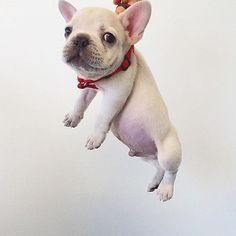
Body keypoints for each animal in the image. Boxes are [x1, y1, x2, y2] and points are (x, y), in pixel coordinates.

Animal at [58, 0, 182, 203]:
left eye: (108, 37)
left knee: (171, 171)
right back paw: (154, 182)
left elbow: (102, 116)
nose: (80, 38)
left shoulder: (116, 93)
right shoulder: (90, 84)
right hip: (146, 155)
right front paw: (73, 117)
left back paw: (165, 189)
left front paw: (95, 137)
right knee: (158, 167)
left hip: (169, 153)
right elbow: (81, 101)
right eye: (67, 31)